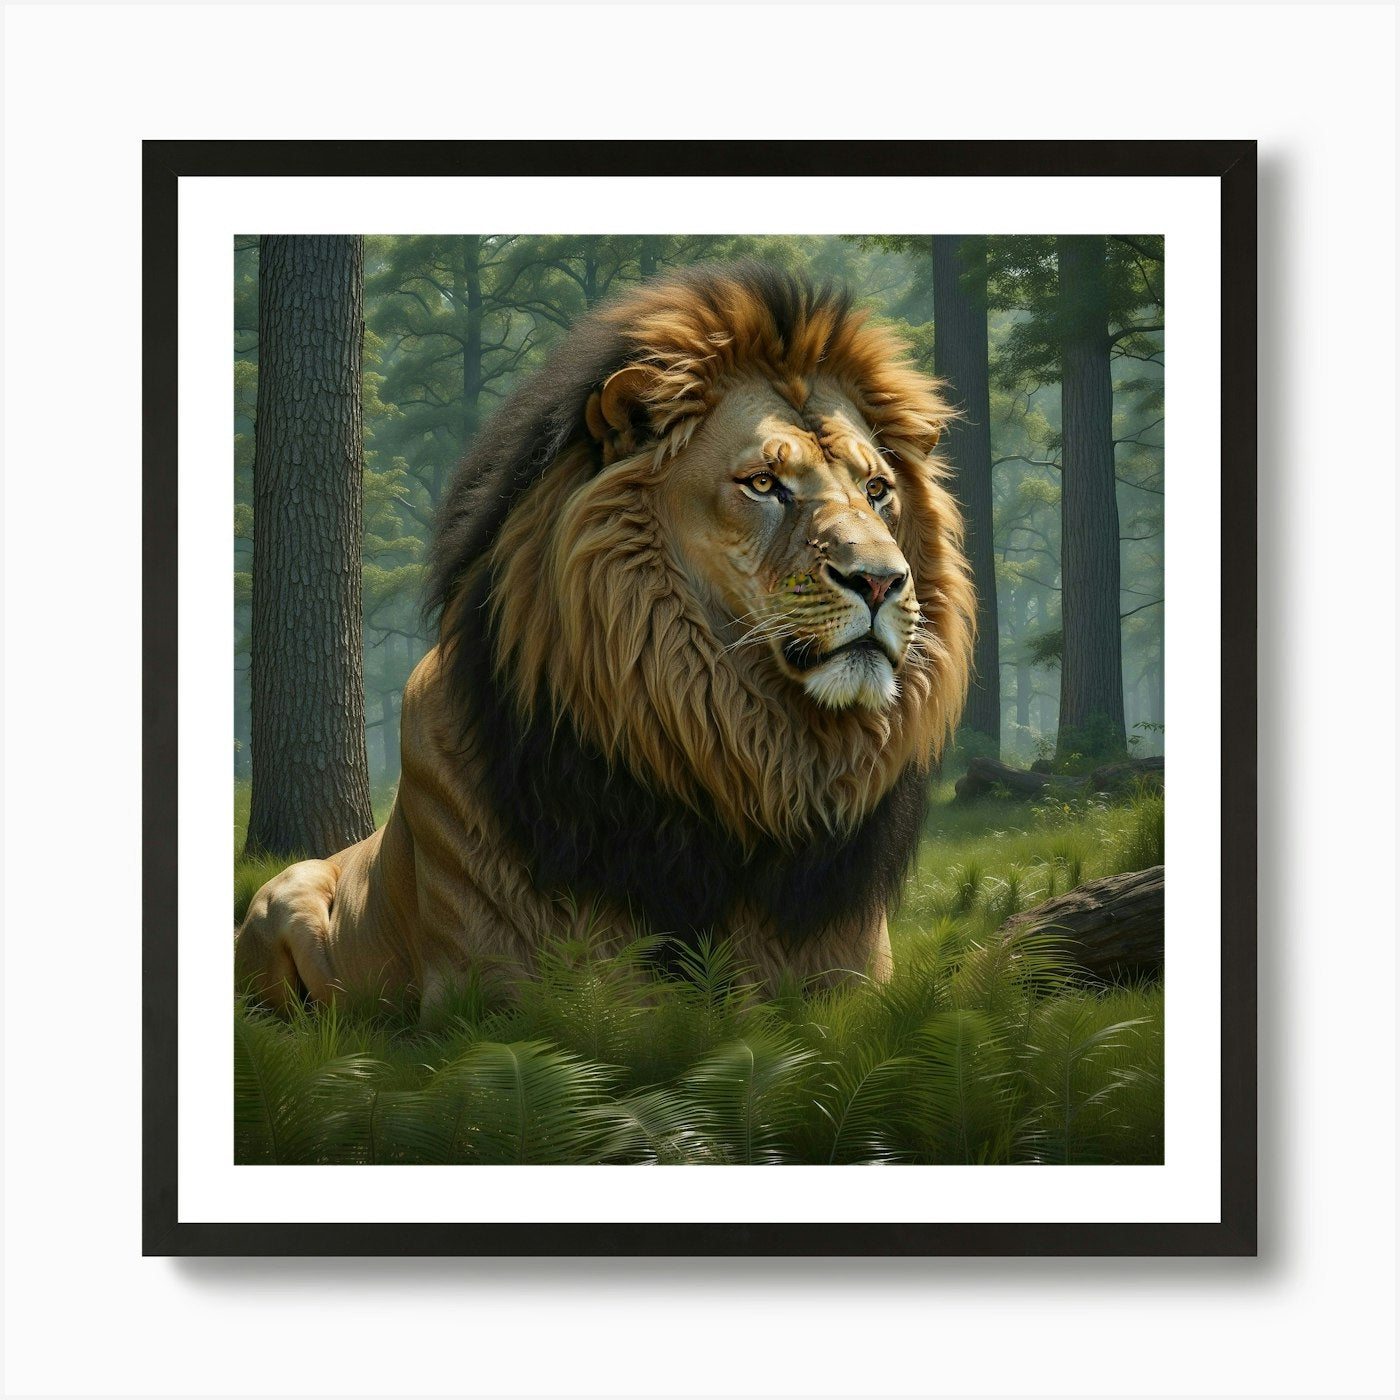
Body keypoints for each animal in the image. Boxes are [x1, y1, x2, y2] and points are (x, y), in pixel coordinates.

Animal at [235, 261, 976, 1015]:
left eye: (878, 489)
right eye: (764, 483)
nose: (883, 581)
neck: (746, 776)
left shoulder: (851, 979)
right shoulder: (497, 992)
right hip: (287, 895)